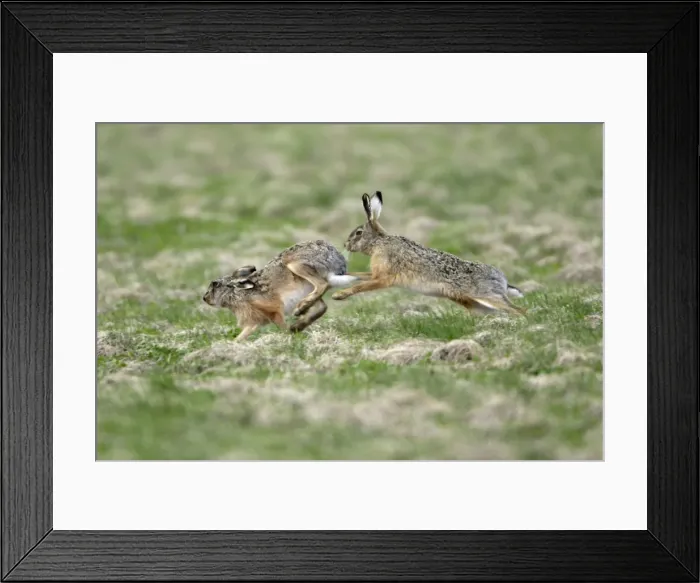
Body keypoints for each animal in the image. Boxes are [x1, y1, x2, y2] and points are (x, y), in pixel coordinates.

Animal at [202, 240, 365, 341]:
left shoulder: (274, 310)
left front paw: (289, 336)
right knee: (322, 306)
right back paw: (299, 320)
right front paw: (234, 343)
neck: (236, 293)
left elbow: (281, 324)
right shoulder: (254, 321)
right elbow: (243, 335)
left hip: (296, 264)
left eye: (215, 284)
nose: (205, 298)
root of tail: (338, 263)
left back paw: (299, 314)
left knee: (321, 285)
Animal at [331, 191, 526, 316]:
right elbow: (359, 275)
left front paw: (338, 295)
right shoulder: (375, 273)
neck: (380, 242)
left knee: (518, 310)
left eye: (358, 233)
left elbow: (362, 286)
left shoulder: (385, 278)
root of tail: (502, 279)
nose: (345, 244)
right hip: (475, 303)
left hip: (485, 295)